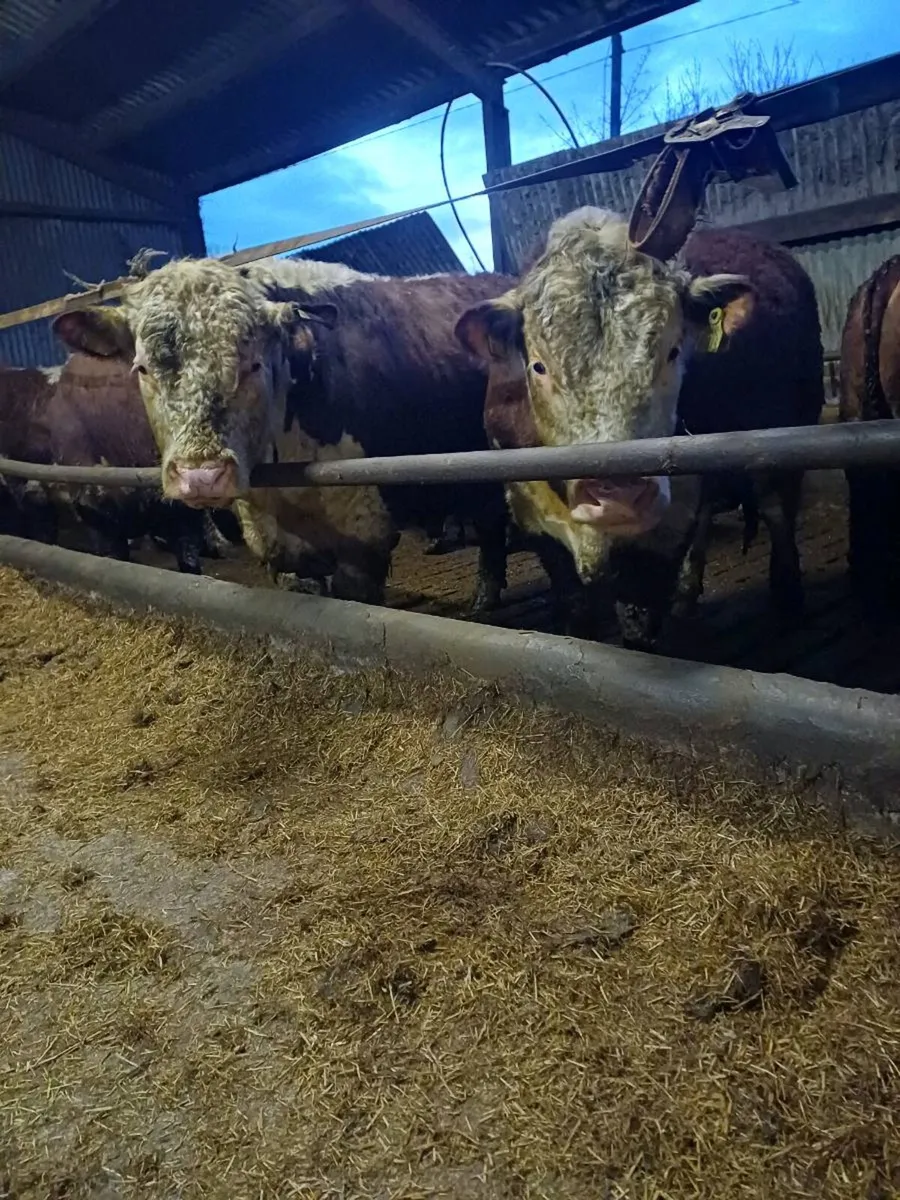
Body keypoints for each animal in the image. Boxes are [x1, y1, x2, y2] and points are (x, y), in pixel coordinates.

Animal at [454, 206, 825, 650]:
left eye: (674, 351)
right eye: (539, 366)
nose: (618, 495)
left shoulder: (666, 529)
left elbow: (639, 618)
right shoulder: (534, 516)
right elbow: (574, 608)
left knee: (778, 513)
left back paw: (788, 603)